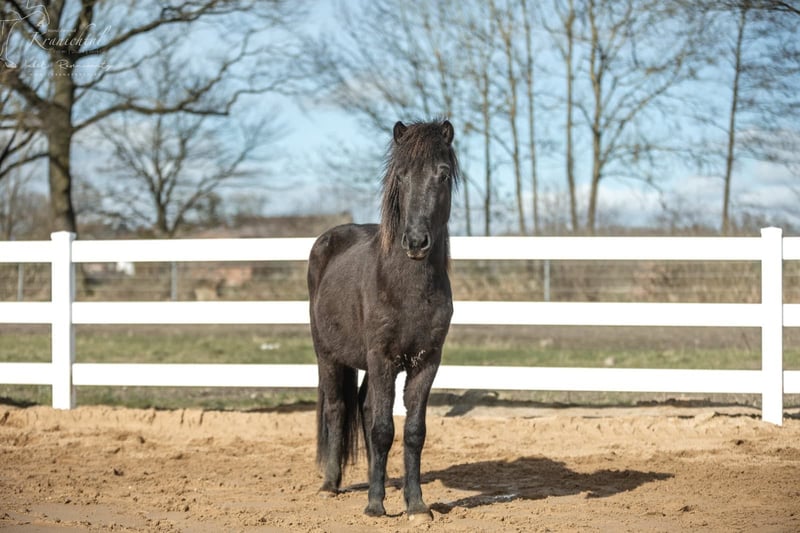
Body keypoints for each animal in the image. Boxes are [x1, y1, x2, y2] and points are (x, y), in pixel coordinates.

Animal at [307, 119, 458, 520]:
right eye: (401, 176)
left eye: (442, 174)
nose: (416, 242)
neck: (407, 288)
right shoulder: (382, 359)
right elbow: (381, 428)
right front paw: (375, 506)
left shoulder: (427, 361)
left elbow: (413, 431)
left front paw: (416, 505)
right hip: (328, 355)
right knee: (338, 409)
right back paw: (330, 485)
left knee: (362, 407)